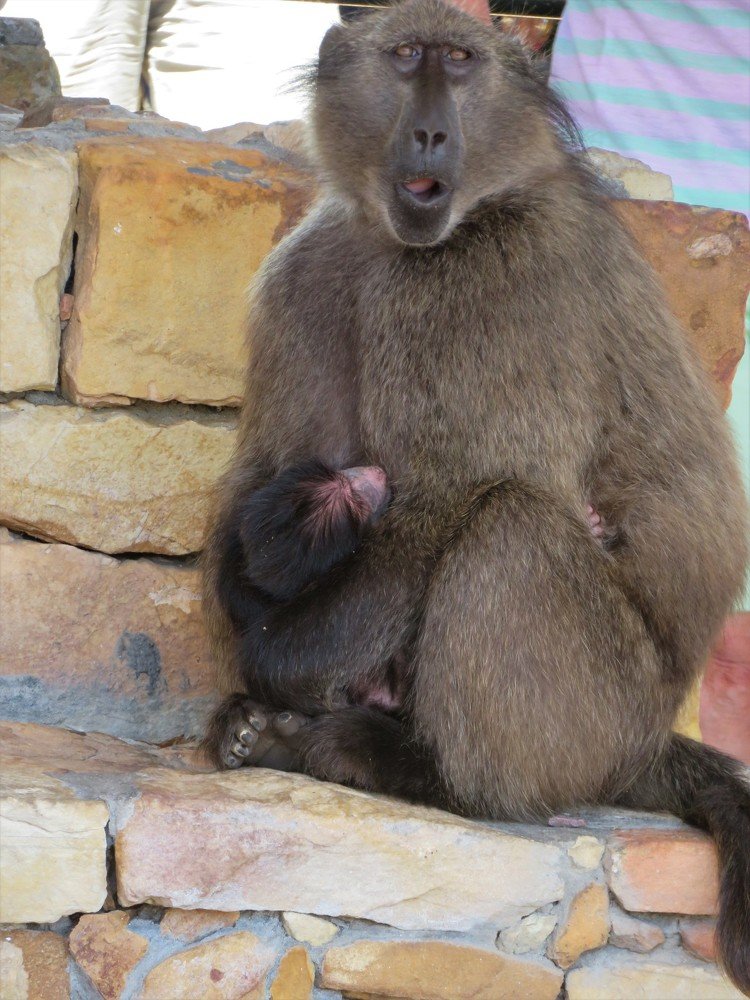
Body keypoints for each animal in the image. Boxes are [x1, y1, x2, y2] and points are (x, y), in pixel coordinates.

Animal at [201, 1, 750, 990]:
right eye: (405, 57)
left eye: (459, 61)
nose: (428, 131)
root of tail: (649, 739)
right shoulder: (312, 265)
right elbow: (269, 482)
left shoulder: (489, 287)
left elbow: (451, 500)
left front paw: (275, 672)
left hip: (604, 715)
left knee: (512, 523)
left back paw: (405, 767)